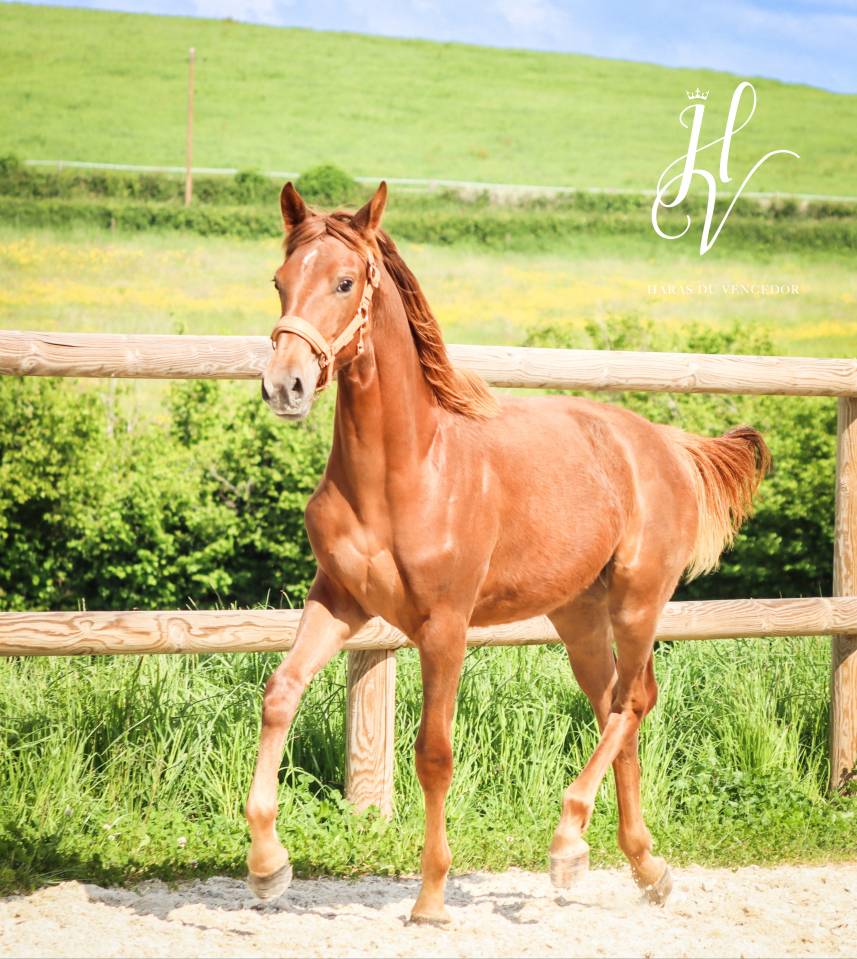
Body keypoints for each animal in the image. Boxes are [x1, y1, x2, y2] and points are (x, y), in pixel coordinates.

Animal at [245, 180, 771, 923]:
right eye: (280, 280)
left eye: (345, 281)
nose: (284, 385)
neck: (405, 471)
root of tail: (664, 444)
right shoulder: (339, 600)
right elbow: (279, 695)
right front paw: (268, 865)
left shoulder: (444, 625)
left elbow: (433, 752)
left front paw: (431, 896)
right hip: (578, 617)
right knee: (615, 704)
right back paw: (645, 866)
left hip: (639, 601)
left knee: (633, 701)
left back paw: (568, 845)